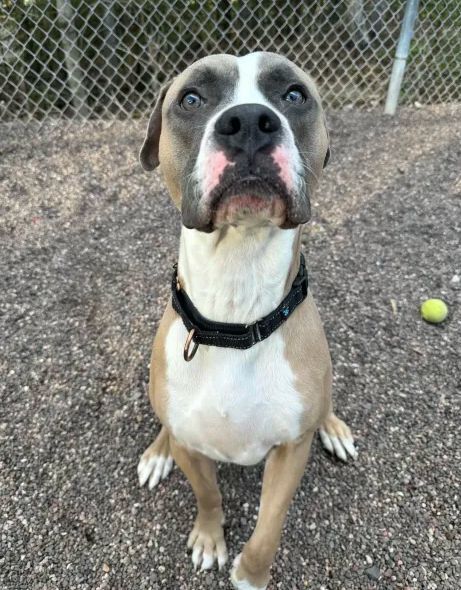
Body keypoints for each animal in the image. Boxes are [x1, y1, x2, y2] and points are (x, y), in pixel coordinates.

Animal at [137, 53, 356, 588]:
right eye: (191, 98)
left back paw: (333, 426)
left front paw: (251, 575)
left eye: (294, 94)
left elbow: (269, 523)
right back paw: (156, 452)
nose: (251, 122)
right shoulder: (192, 448)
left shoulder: (290, 451)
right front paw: (209, 538)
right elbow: (209, 494)